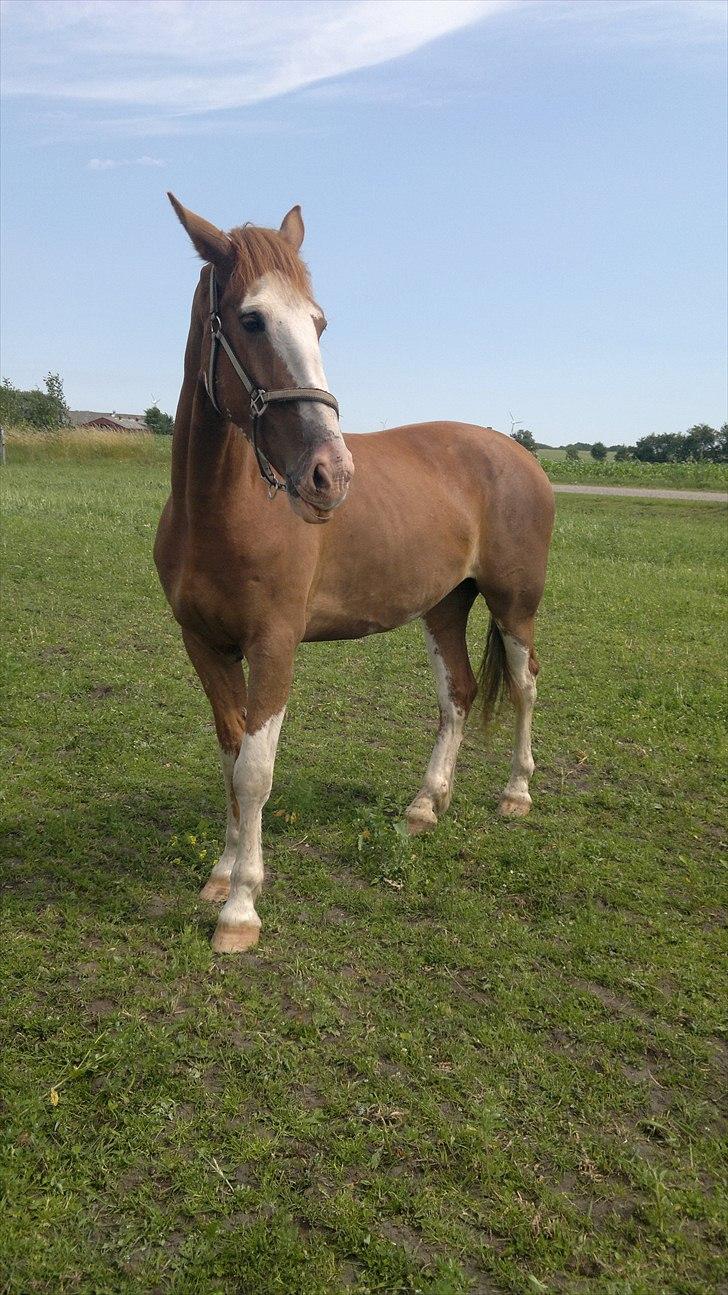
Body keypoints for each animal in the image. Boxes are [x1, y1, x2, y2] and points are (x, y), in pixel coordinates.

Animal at [151, 196, 549, 958]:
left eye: (319, 322)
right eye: (251, 319)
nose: (329, 475)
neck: (220, 510)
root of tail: (520, 456)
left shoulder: (275, 645)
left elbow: (256, 769)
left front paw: (241, 909)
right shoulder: (203, 644)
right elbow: (229, 755)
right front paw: (221, 873)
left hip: (515, 605)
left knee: (522, 685)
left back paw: (516, 793)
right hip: (444, 606)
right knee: (458, 693)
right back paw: (425, 806)